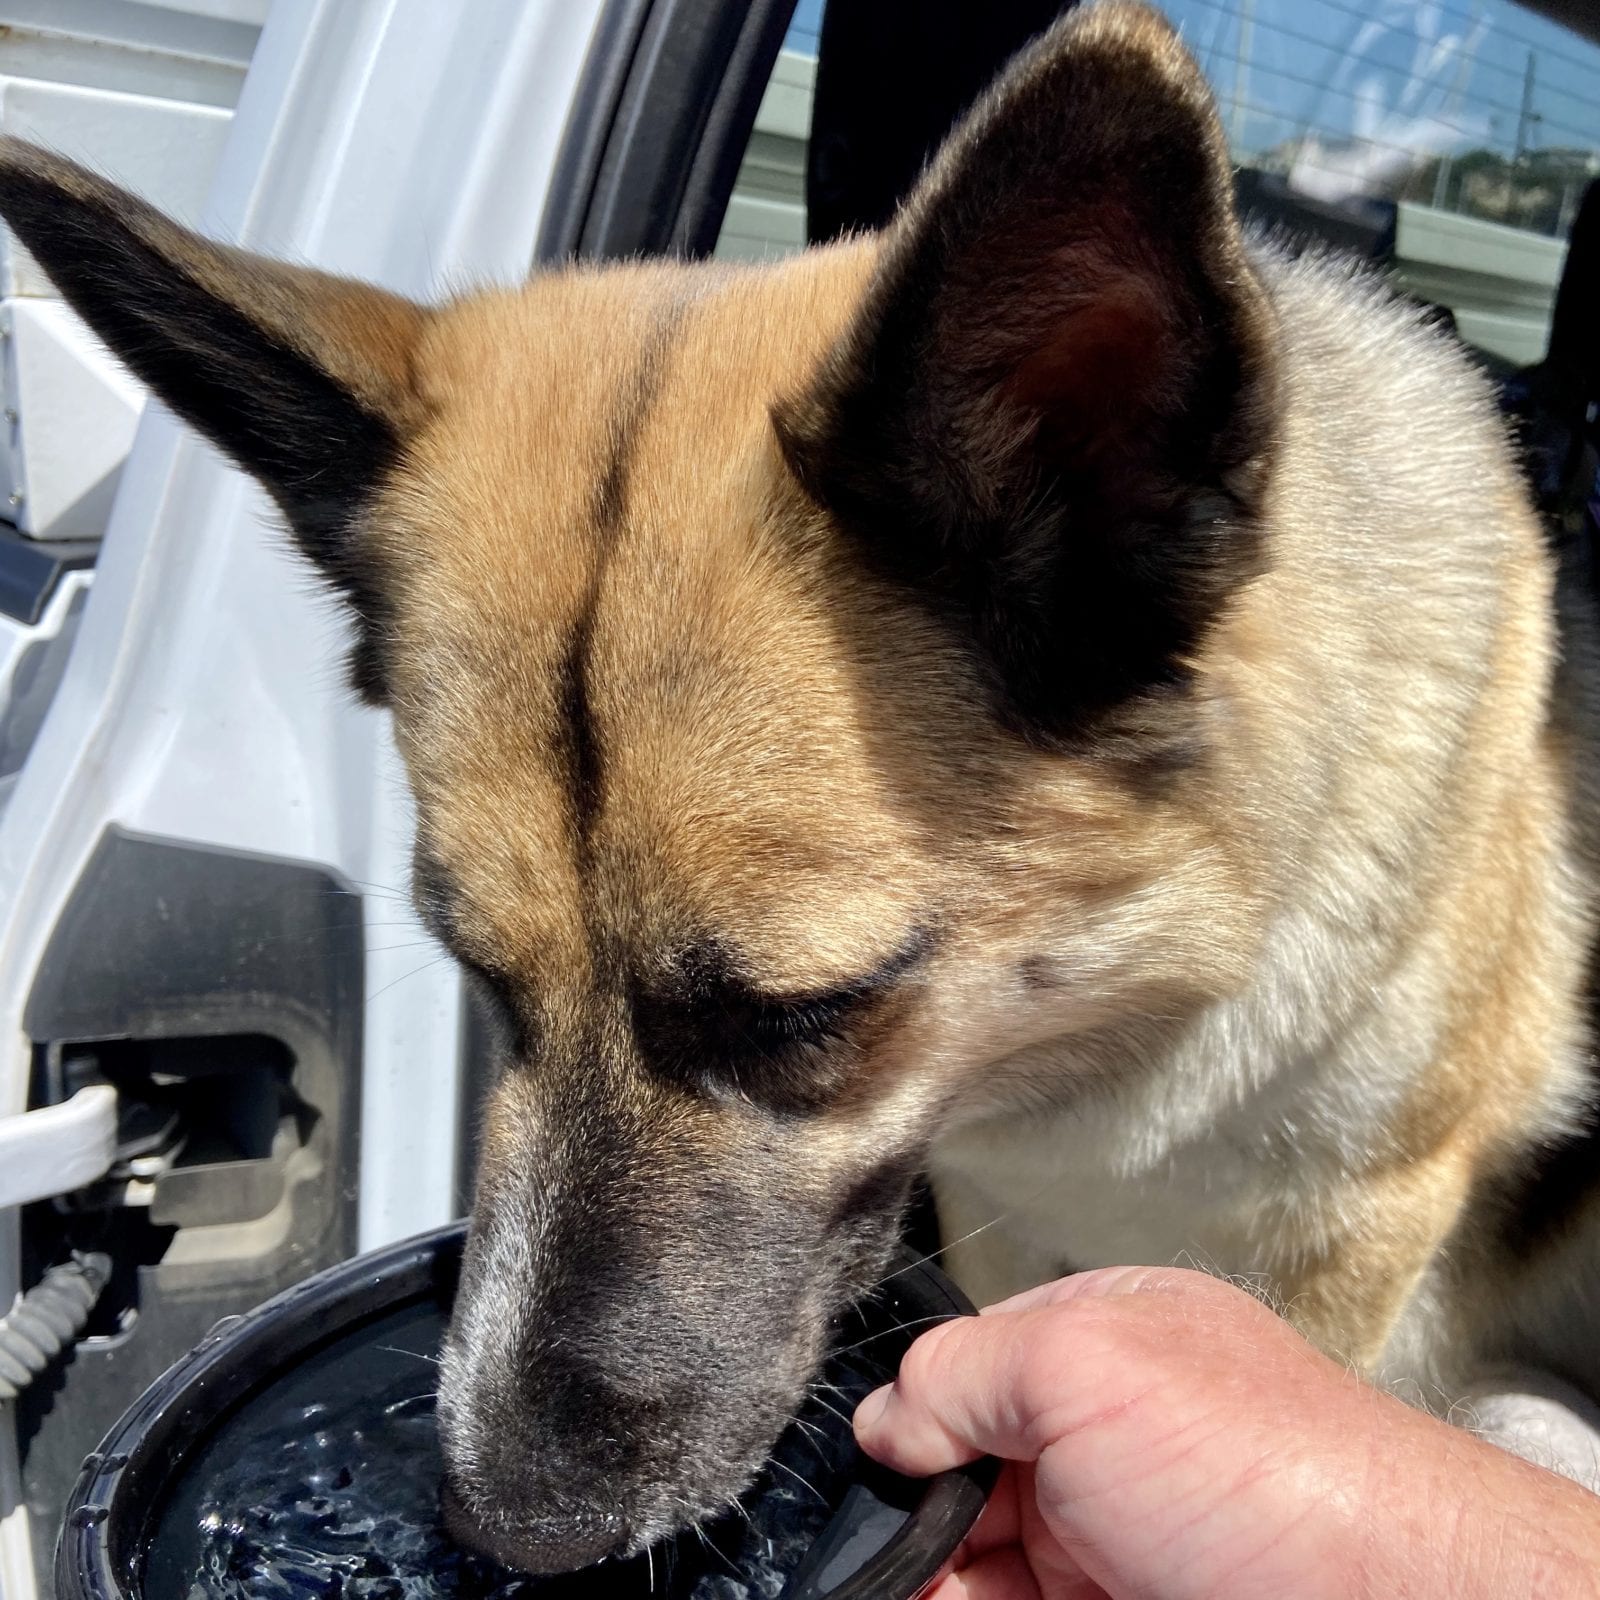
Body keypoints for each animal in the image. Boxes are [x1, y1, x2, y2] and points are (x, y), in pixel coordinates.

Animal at [3, 0, 1600, 1574]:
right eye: (481, 980)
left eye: (796, 1018)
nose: (508, 1526)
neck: (1139, 1002)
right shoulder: (996, 1210)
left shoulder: (1341, 1246)